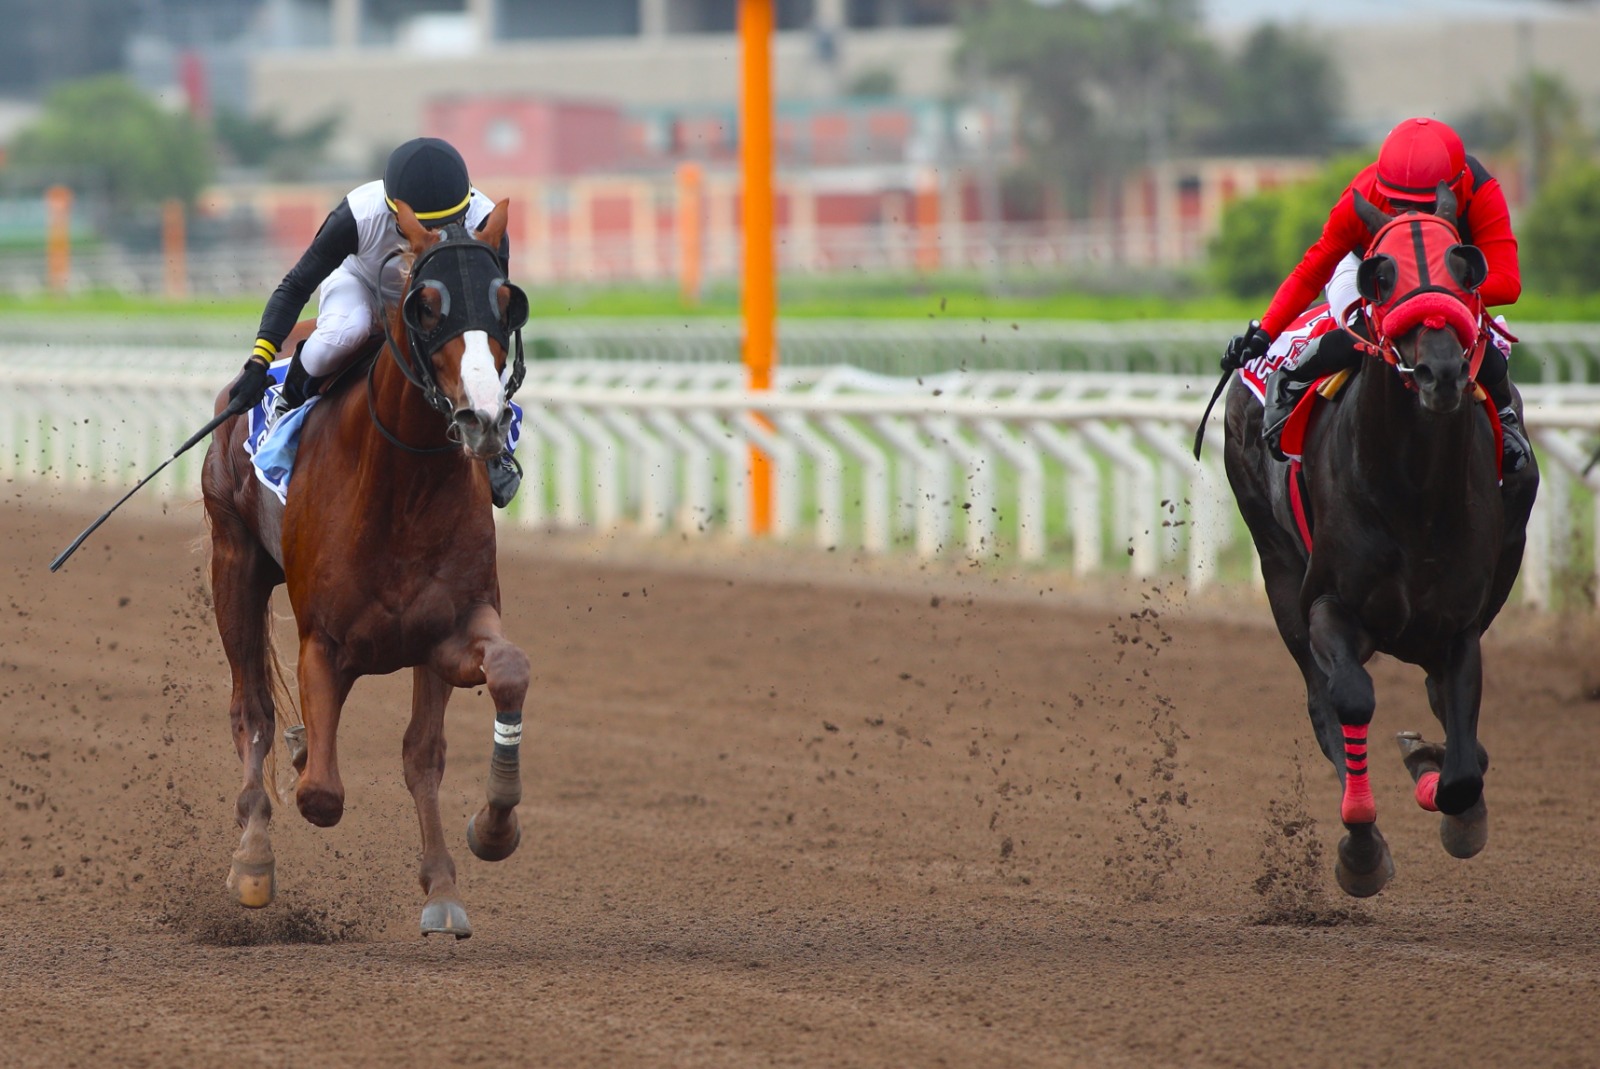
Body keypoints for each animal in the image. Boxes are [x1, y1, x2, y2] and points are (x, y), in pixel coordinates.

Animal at [200, 200, 531, 937]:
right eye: (427, 304)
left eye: (507, 301)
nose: (483, 419)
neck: (403, 490)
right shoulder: (323, 641)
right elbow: (320, 793)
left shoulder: (445, 628)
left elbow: (470, 708)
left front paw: (478, 843)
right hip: (233, 561)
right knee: (250, 708)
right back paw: (252, 858)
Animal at [1223, 186, 1539, 897]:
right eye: (1381, 273)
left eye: (1465, 266)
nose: (1439, 371)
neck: (1413, 492)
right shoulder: (1327, 603)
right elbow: (1350, 698)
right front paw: (1362, 847)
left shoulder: (1459, 623)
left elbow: (1460, 769)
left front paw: (1440, 778)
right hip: (1276, 564)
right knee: (1321, 702)